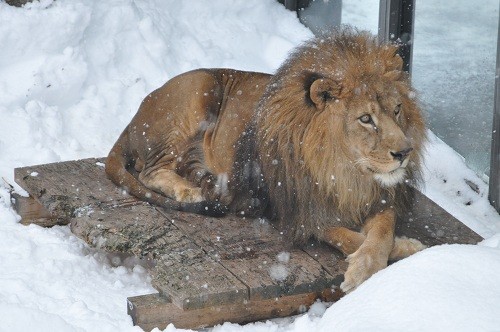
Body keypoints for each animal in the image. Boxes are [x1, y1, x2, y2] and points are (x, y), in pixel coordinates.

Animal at [105, 29, 426, 294]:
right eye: (365, 119)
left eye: (397, 109)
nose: (404, 152)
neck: (344, 171)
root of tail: (135, 117)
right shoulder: (297, 211)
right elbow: (345, 236)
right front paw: (404, 249)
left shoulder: (380, 196)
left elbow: (382, 232)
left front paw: (382, 255)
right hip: (198, 89)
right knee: (149, 171)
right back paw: (190, 191)